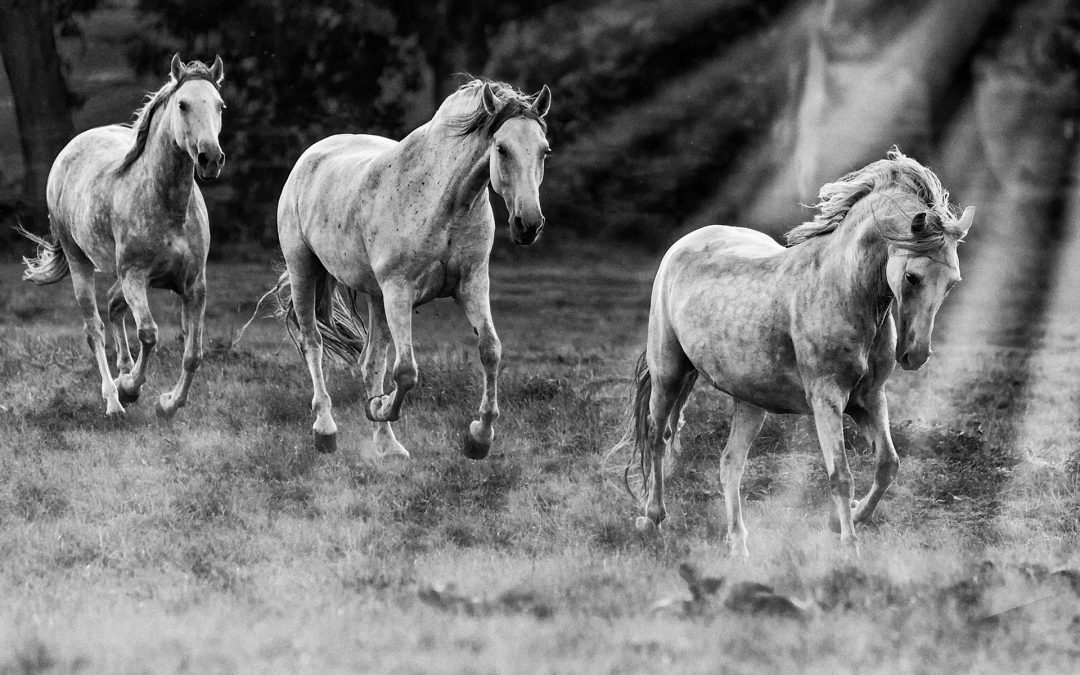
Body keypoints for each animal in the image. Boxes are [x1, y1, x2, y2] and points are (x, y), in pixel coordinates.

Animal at [20, 54, 225, 418]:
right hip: (79, 262)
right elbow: (149, 334)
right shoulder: (135, 277)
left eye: (219, 105)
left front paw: (168, 404)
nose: (210, 158)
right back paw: (114, 400)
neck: (168, 207)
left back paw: (123, 370)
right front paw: (131, 388)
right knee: (94, 328)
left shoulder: (194, 285)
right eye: (183, 104)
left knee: (113, 305)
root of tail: (71, 148)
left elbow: (193, 353)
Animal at [274, 79, 551, 459]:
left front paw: (479, 437)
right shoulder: (399, 290)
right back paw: (326, 430)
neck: (446, 202)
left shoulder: (473, 284)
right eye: (502, 149)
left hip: (376, 298)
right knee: (313, 344)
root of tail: (310, 157)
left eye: (544, 150)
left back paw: (387, 446)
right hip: (305, 270)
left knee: (370, 361)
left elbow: (490, 351)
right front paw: (380, 407)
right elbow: (406, 372)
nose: (529, 224)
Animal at [615, 148, 973, 555]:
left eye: (952, 282)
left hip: (749, 401)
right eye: (912, 277)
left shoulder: (868, 398)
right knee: (657, 435)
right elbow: (841, 475)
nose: (915, 355)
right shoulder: (826, 398)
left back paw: (738, 546)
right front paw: (849, 548)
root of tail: (683, 244)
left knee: (729, 463)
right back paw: (652, 518)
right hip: (669, 372)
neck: (845, 289)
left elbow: (888, 465)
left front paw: (847, 519)